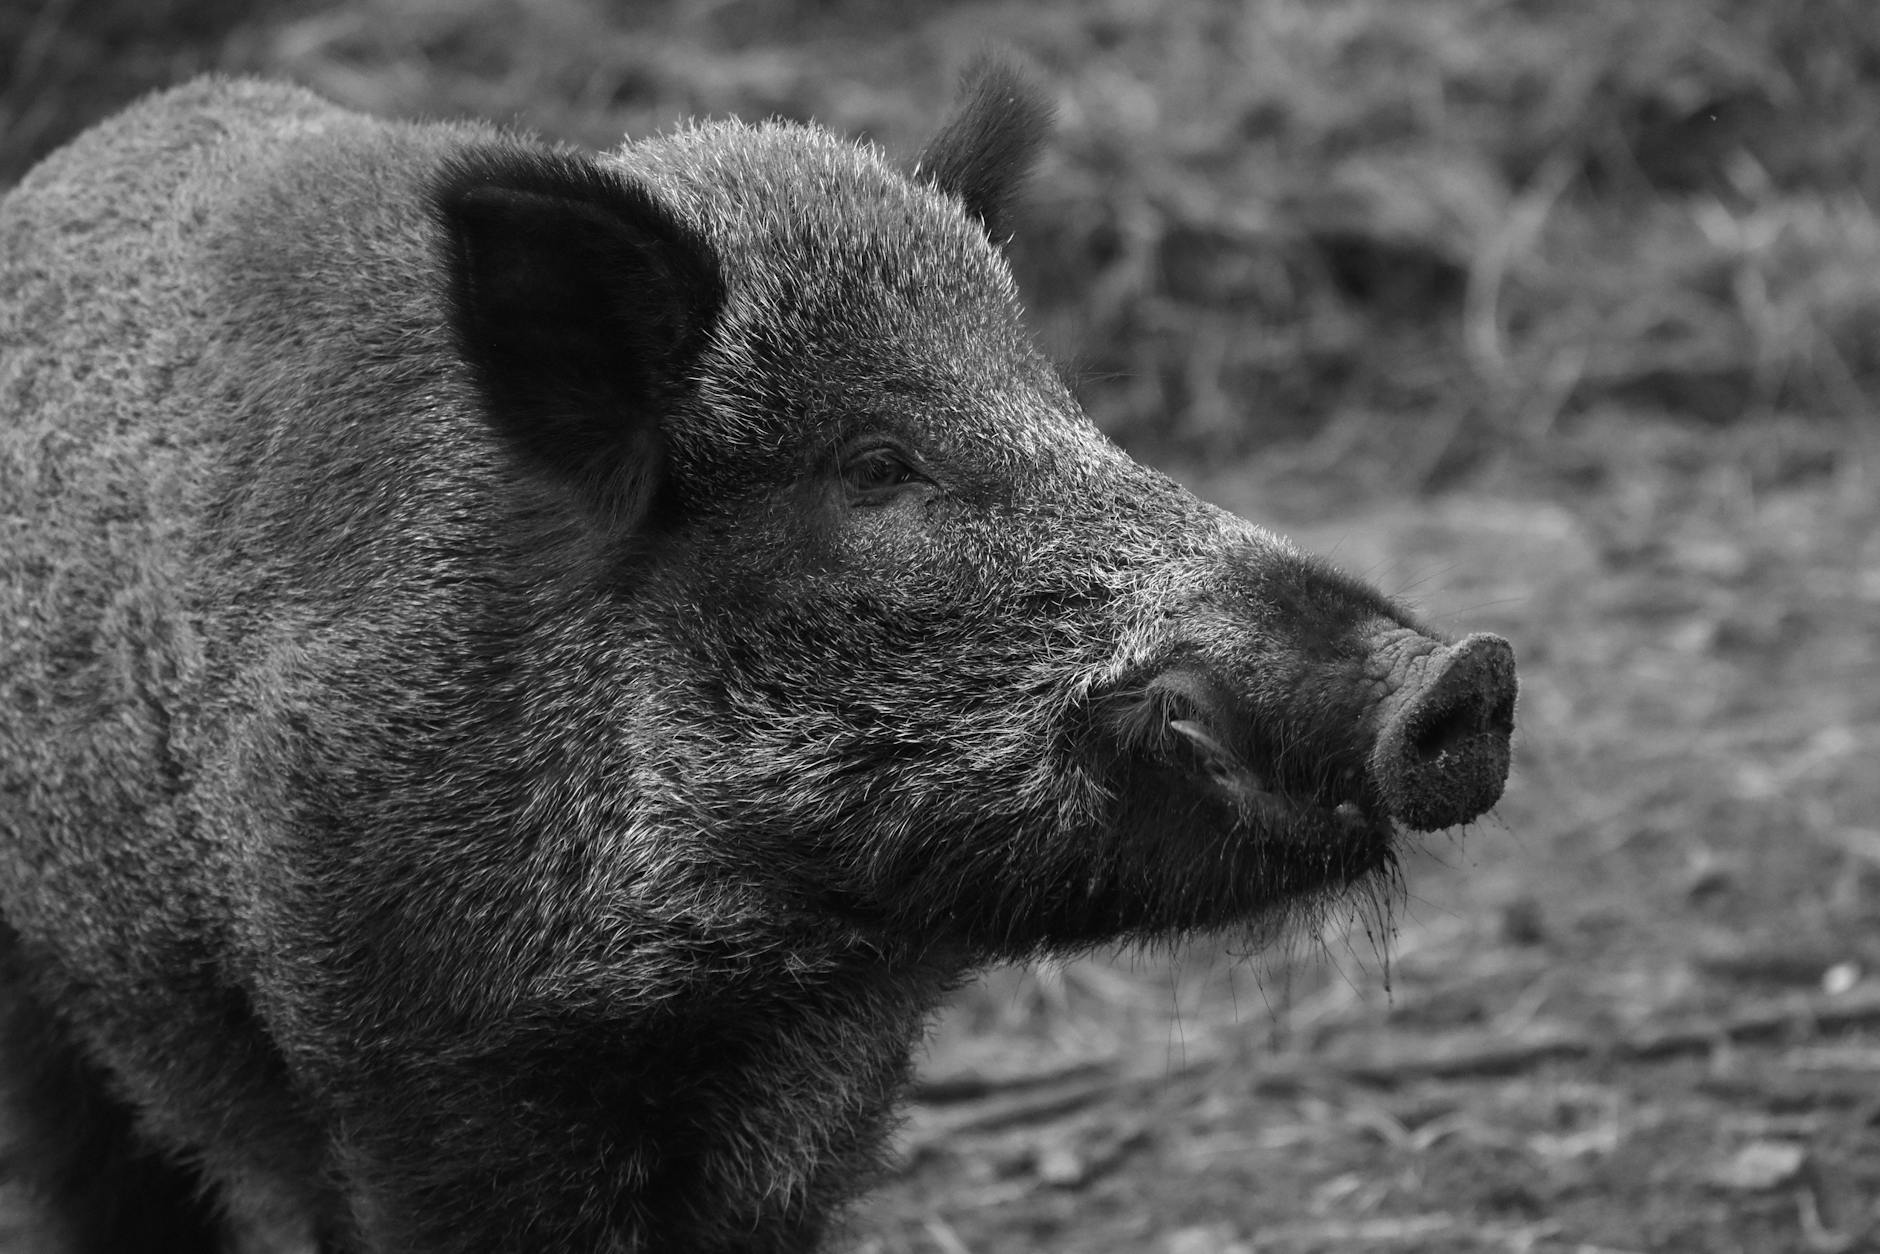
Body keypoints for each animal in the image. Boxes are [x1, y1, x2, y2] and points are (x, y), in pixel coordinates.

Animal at [0, 65, 1516, 1254]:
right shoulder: (404, 1071)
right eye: (877, 465)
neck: (732, 977)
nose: (1466, 673)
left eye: (1069, 410)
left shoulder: (818, 1109)